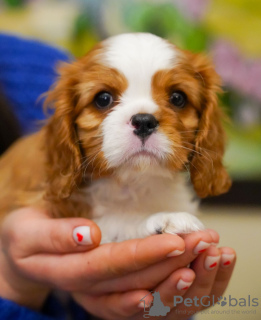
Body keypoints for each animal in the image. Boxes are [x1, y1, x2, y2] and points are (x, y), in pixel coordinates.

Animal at [1, 33, 231, 242]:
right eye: (103, 99)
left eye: (177, 98)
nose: (144, 121)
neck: (134, 182)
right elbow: (116, 220)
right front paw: (163, 218)